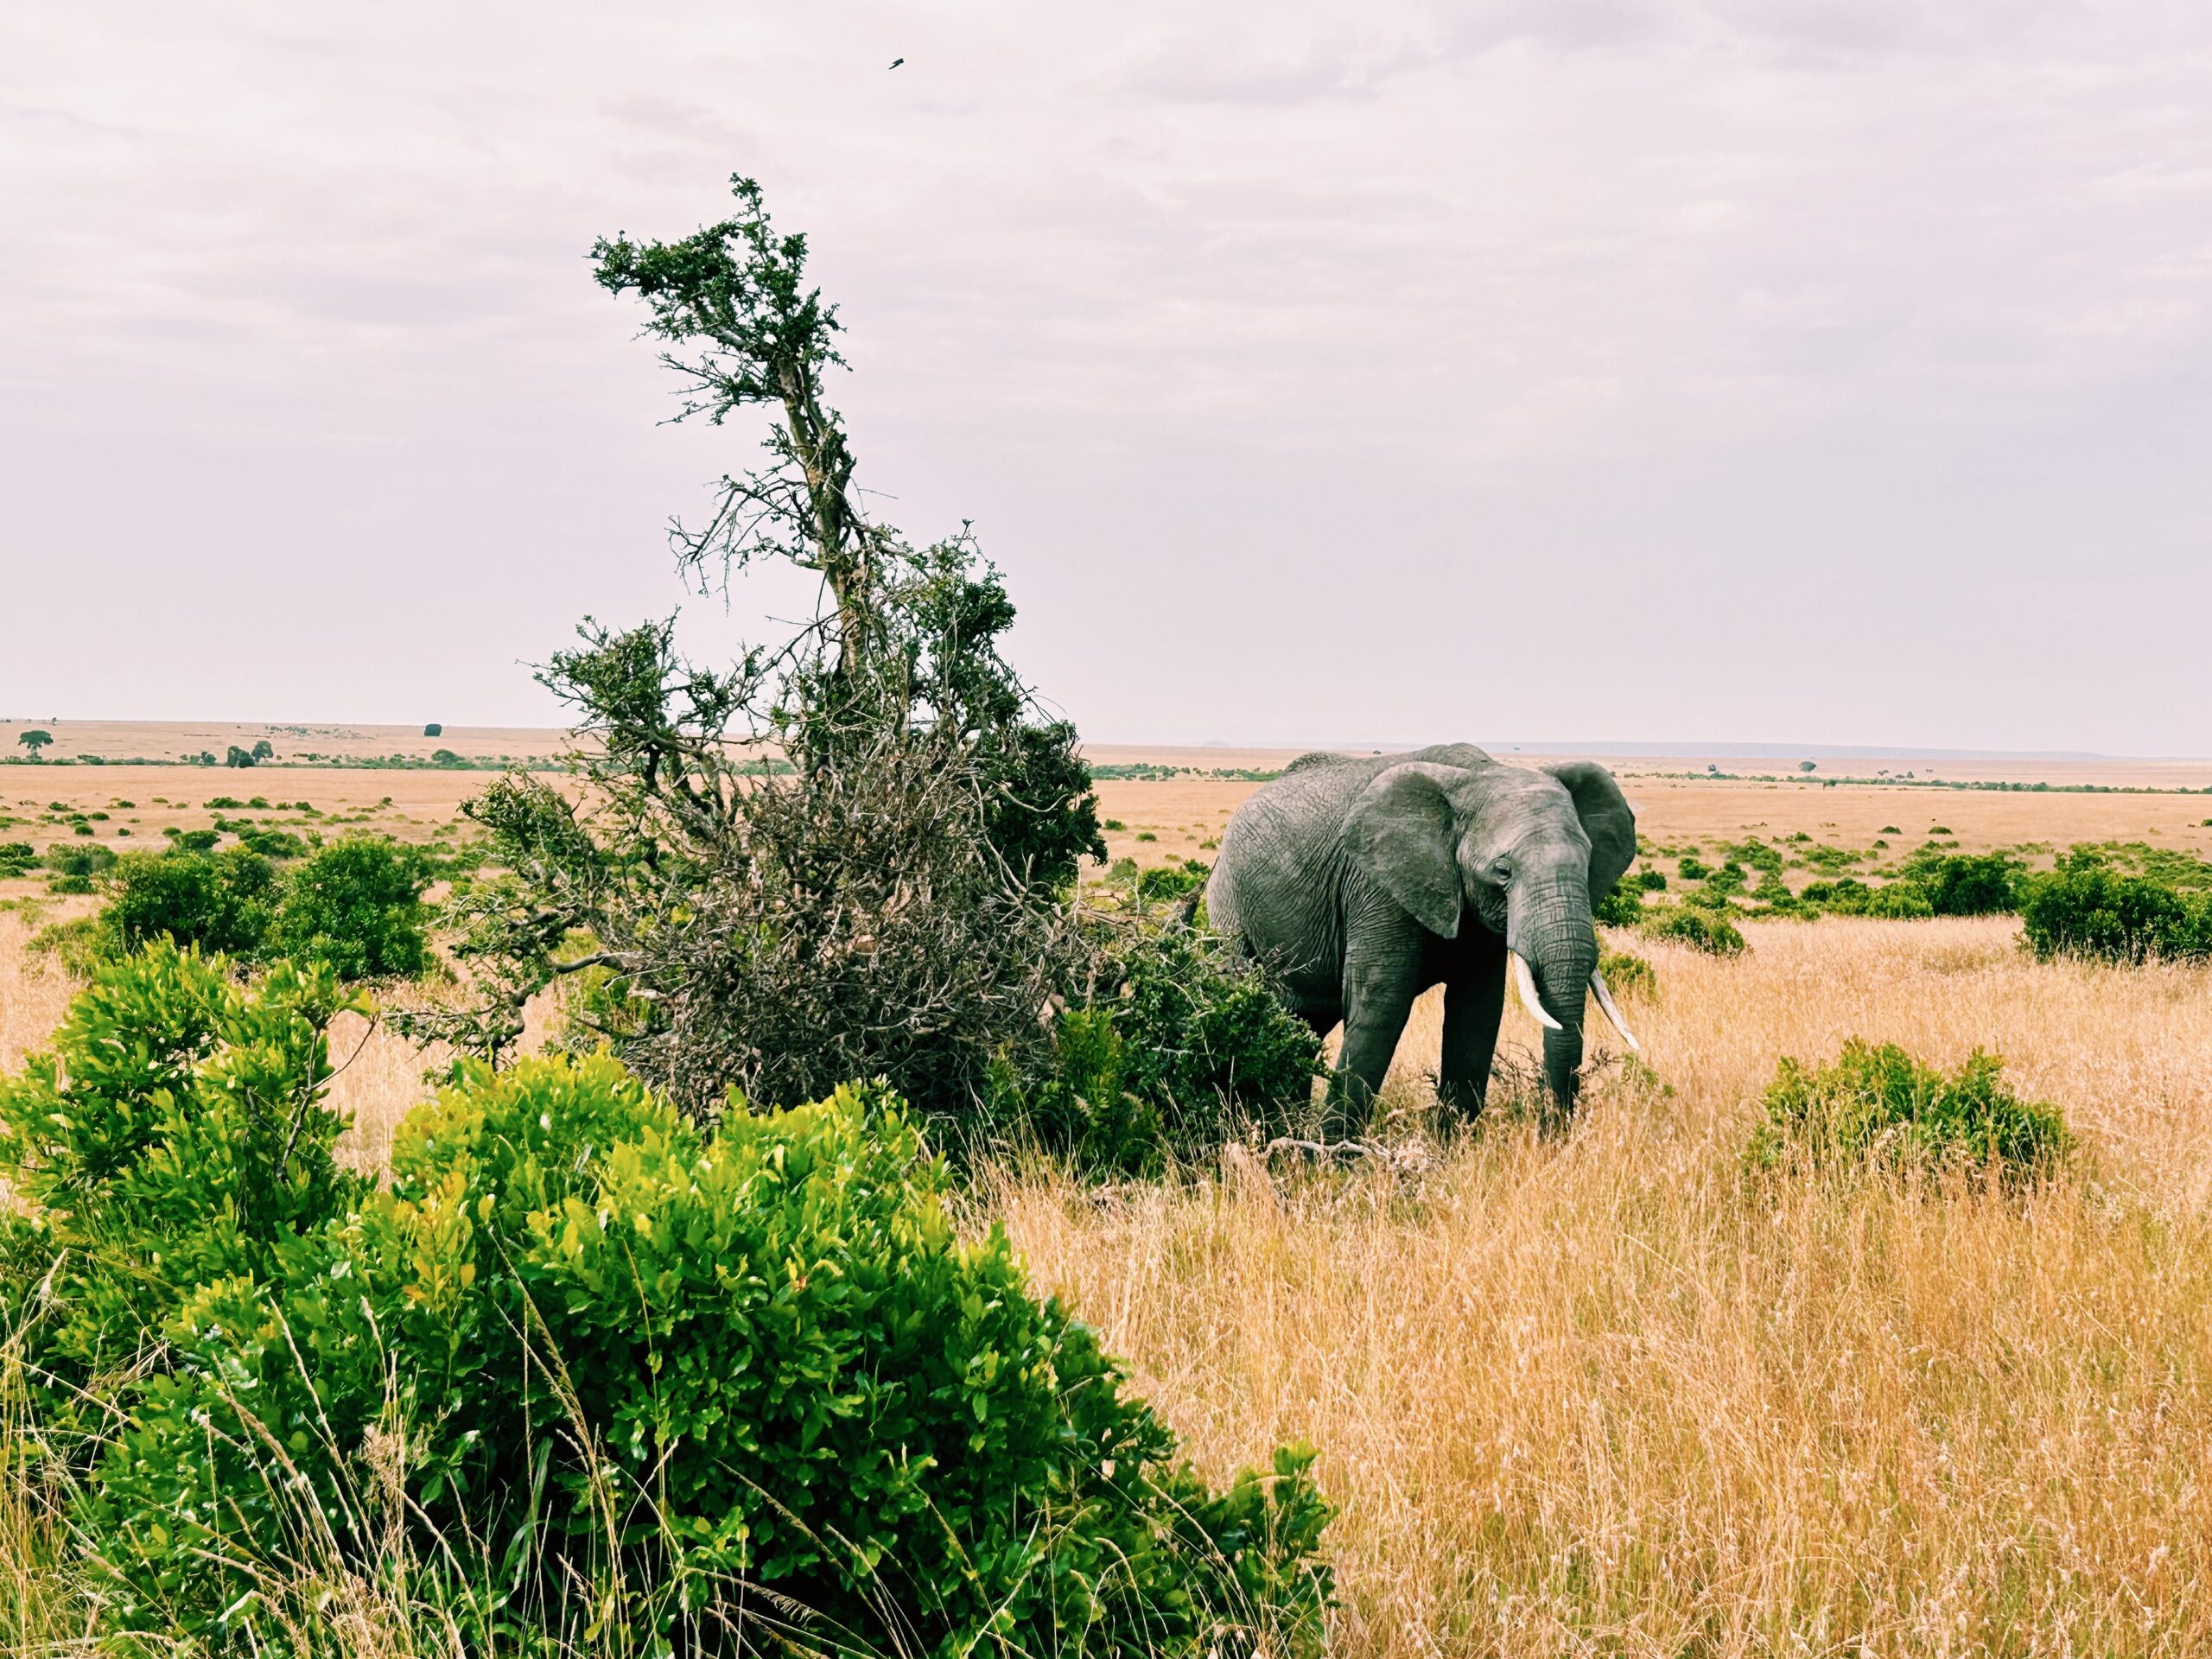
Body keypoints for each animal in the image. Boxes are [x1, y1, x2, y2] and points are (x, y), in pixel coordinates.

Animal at [1211, 747, 1645, 1141]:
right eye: (1503, 871)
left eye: (1588, 862)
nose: (1550, 1134)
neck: (1479, 774)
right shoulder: (1378, 884)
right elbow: (1381, 1003)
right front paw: (1330, 1157)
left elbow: (1477, 1010)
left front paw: (1453, 1149)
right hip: (1229, 900)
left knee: (1305, 1025)